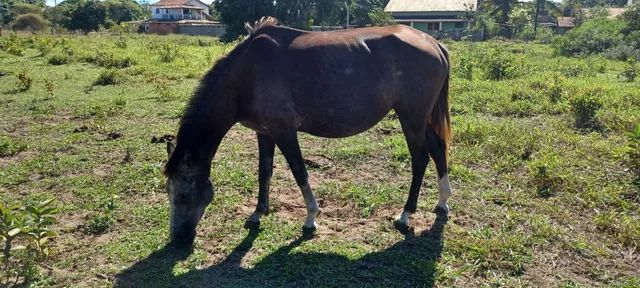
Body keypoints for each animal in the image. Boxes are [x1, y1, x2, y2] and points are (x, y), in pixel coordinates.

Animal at [165, 16, 456, 244]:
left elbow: (299, 172)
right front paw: (258, 213)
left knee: (420, 160)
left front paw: (310, 218)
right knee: (438, 149)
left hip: (411, 118)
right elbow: (264, 172)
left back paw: (406, 216)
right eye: (168, 191)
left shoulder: (284, 132)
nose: (178, 238)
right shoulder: (264, 132)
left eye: (183, 194)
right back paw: (442, 202)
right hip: (422, 119)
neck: (246, 74)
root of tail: (433, 43)